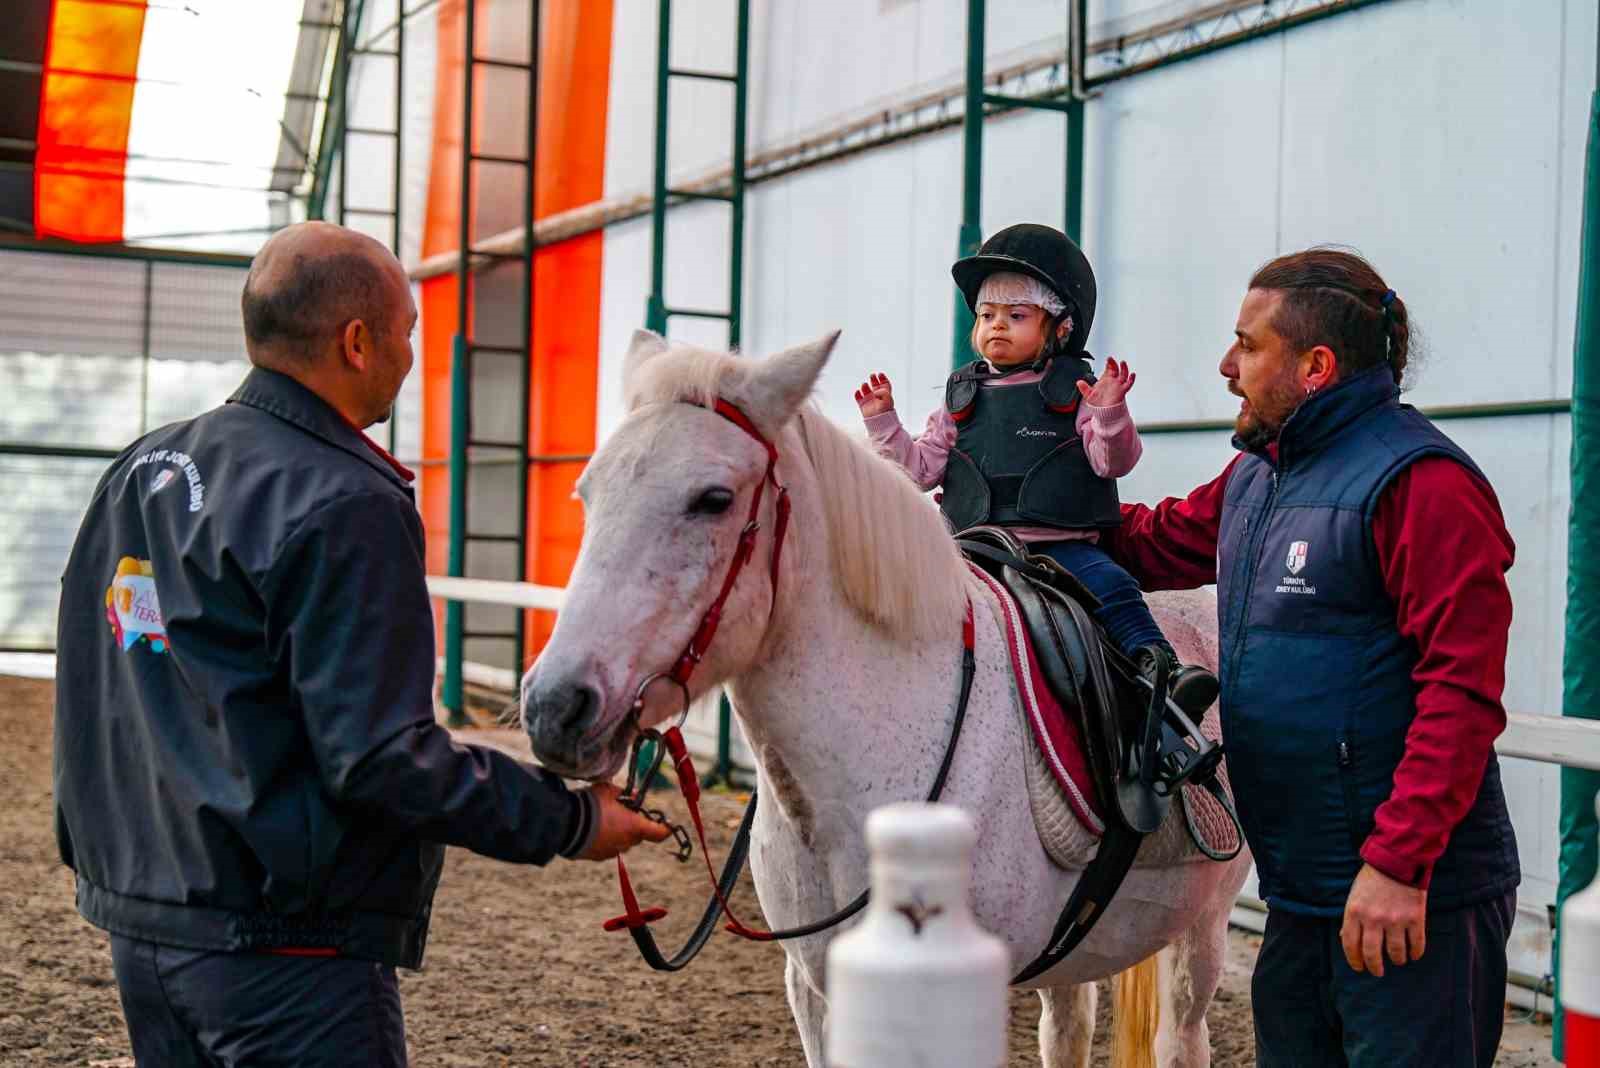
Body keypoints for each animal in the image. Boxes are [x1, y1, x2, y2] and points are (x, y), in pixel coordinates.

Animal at [524, 329, 1248, 1061]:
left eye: (714, 498)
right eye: (588, 492)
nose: (555, 707)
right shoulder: (816, 990)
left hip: (1202, 931)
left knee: (1181, 1038)